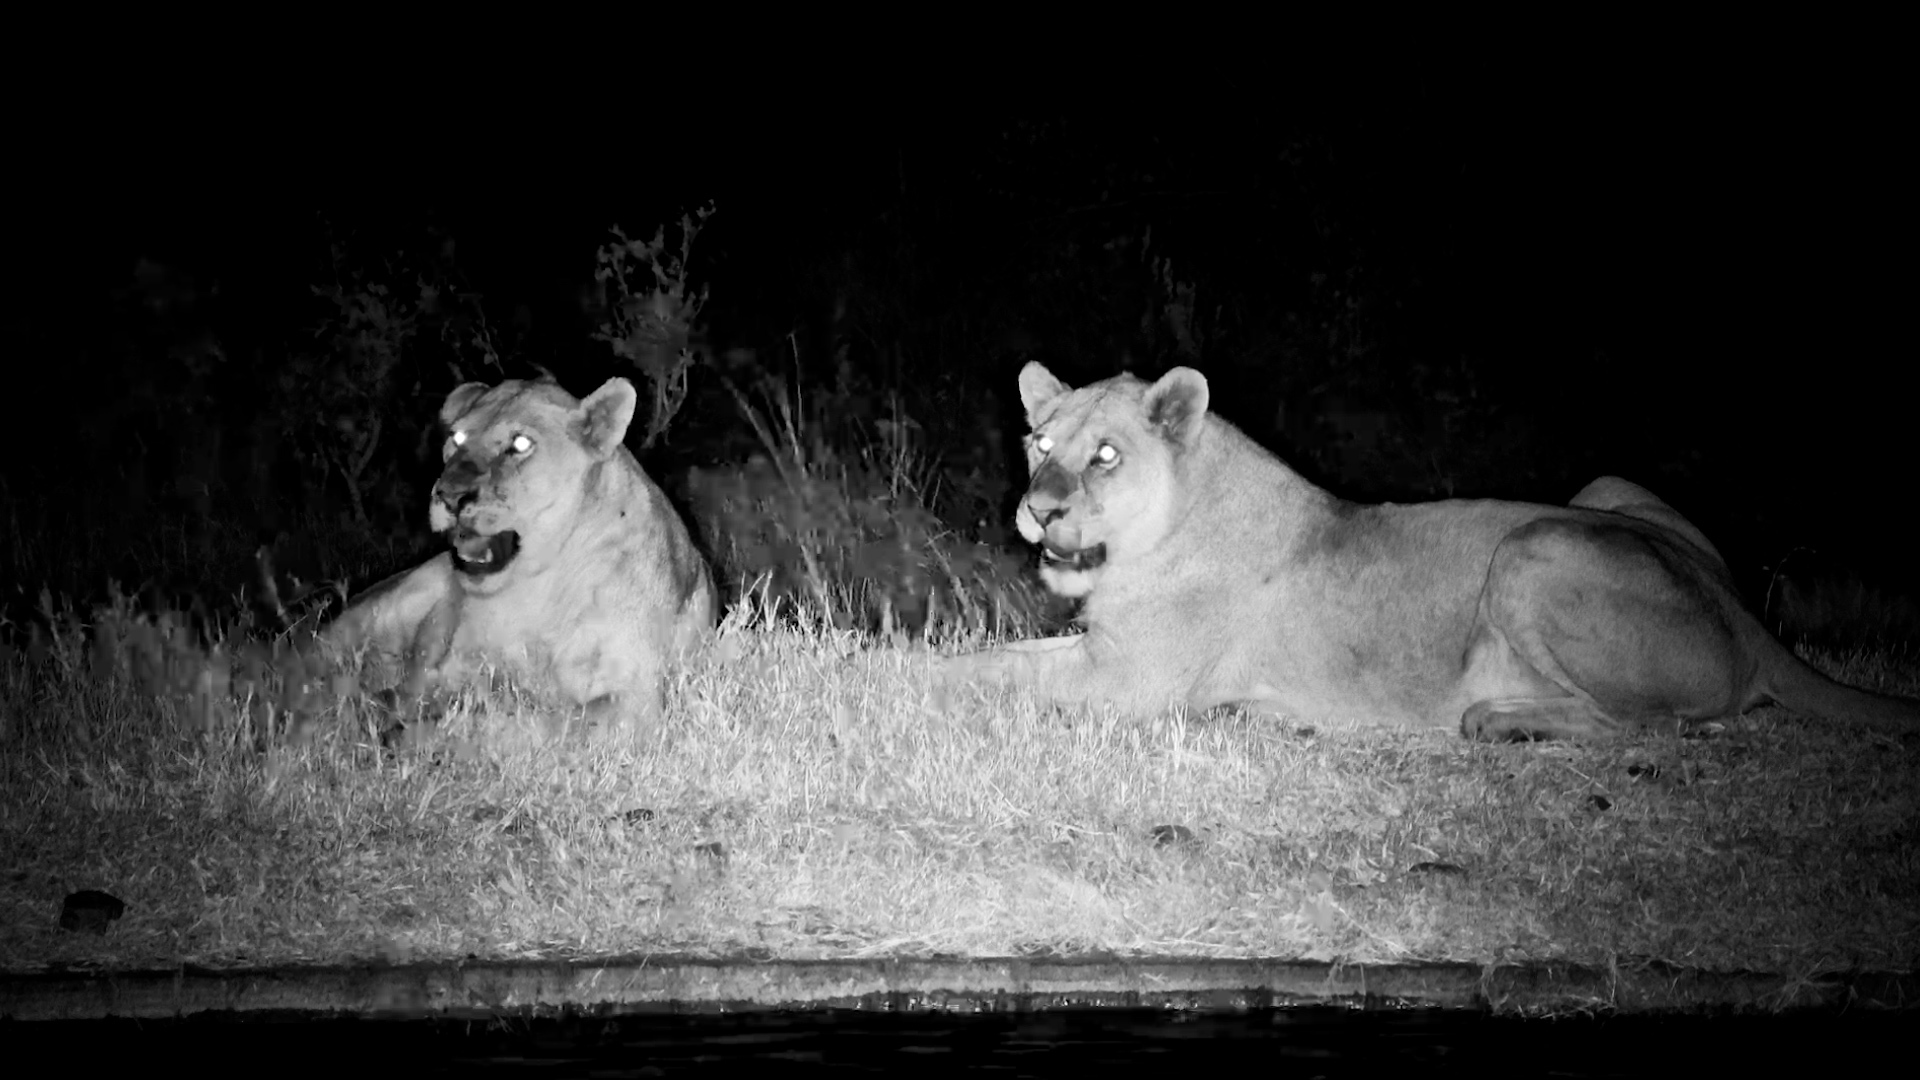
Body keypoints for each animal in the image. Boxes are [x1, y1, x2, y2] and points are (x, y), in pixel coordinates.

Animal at [323, 376, 714, 734]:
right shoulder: (448, 666)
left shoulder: (634, 701)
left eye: (520, 443)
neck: (535, 591)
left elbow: (530, 723)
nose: (449, 496)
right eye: (457, 439)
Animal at [940, 362, 1920, 740]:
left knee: (1655, 725)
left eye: (1105, 455)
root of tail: (1750, 621)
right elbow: (991, 654)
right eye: (1038, 441)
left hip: (1535, 544)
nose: (1037, 510)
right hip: (1605, 488)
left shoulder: (1126, 681)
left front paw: (896, 680)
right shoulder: (1103, 653)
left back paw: (1499, 720)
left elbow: (984, 670)